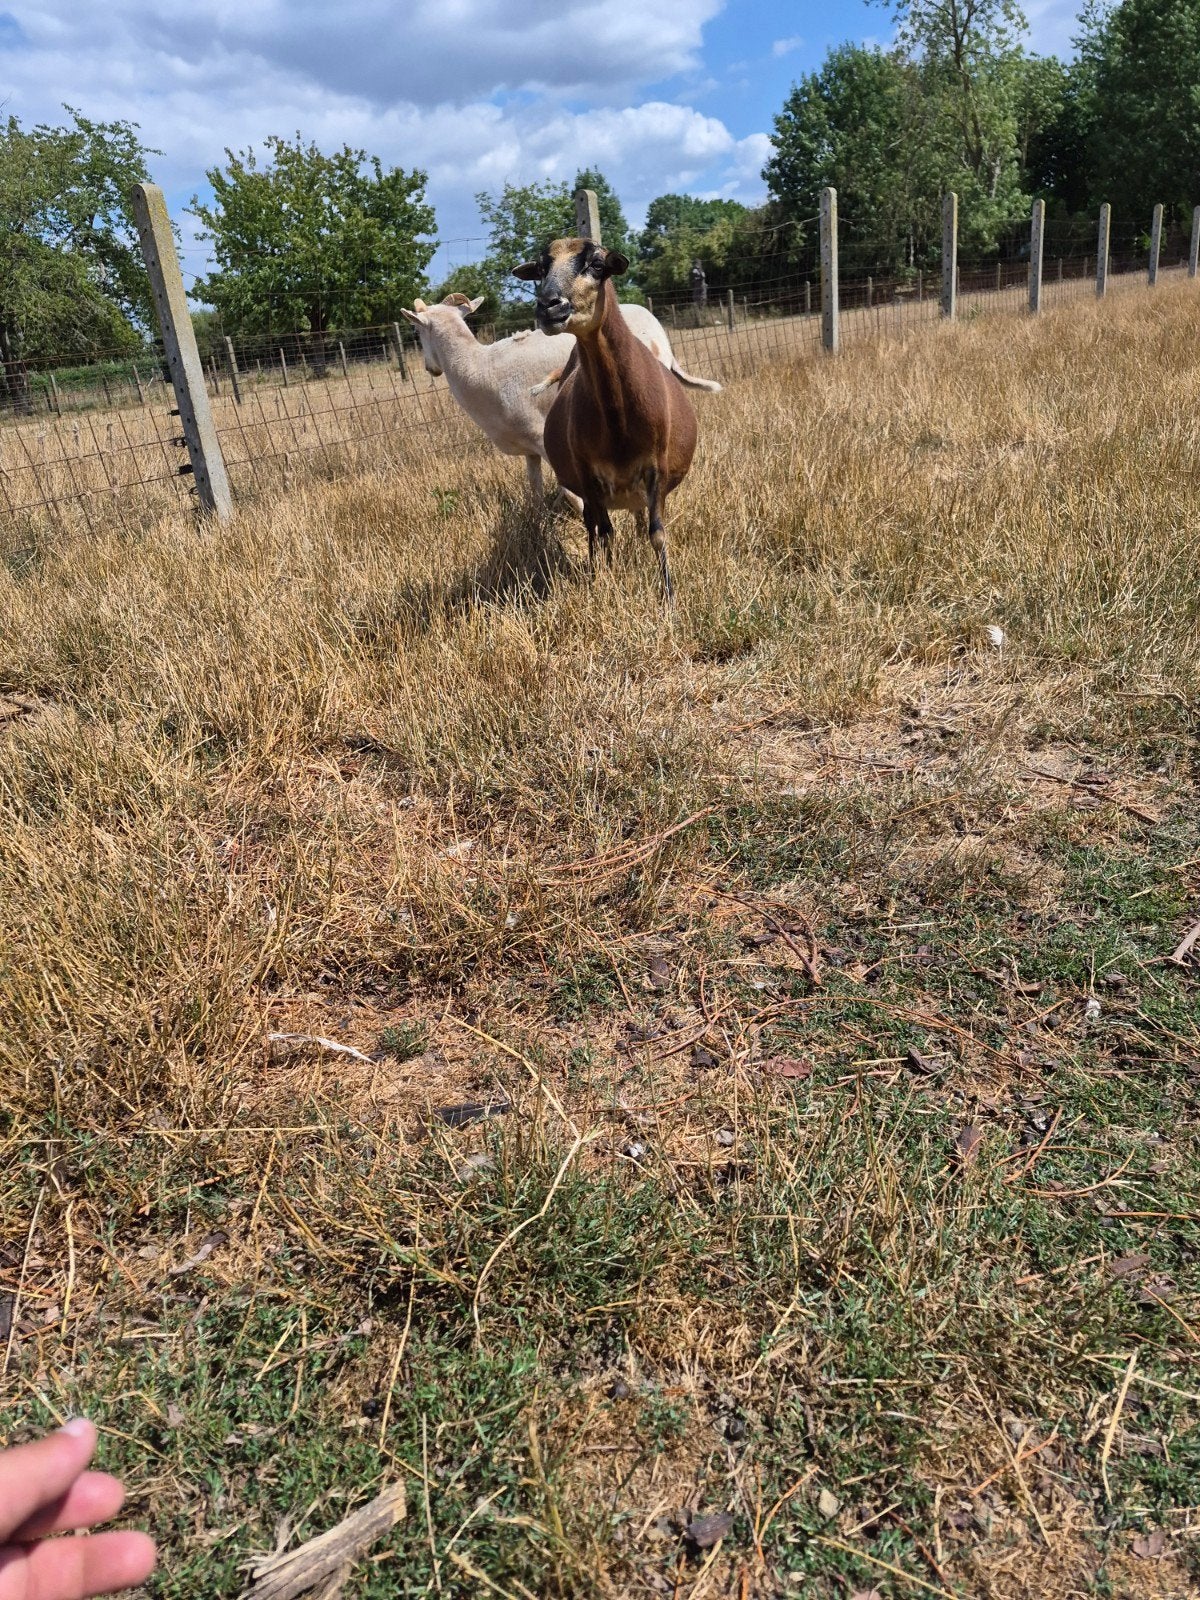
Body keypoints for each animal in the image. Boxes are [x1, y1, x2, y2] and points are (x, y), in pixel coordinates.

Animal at [400, 295, 718, 509]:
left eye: (417, 332)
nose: (430, 368)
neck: (477, 368)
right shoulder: (530, 448)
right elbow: (535, 488)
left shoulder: (545, 437)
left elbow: (570, 492)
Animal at [513, 238, 701, 603]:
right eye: (541, 269)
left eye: (597, 265)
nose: (549, 307)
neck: (618, 424)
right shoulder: (589, 475)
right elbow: (604, 531)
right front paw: (605, 581)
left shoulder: (655, 467)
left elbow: (657, 533)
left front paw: (668, 595)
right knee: (595, 527)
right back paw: (596, 566)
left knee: (637, 521)